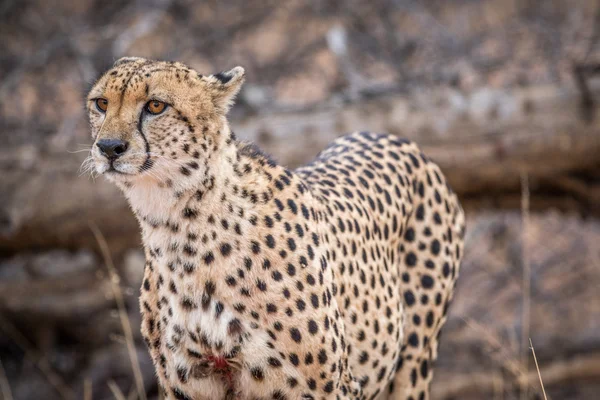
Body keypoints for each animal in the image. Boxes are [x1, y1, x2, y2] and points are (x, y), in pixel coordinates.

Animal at [88, 57, 464, 400]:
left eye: (155, 106)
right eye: (101, 103)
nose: (108, 148)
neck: (179, 229)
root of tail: (386, 135)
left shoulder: (332, 387)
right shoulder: (189, 385)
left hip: (414, 361)